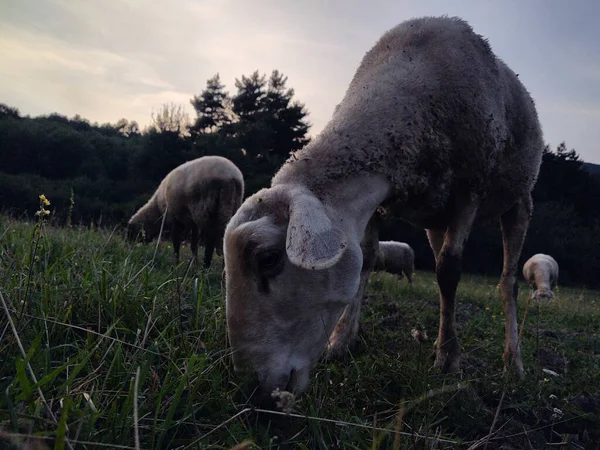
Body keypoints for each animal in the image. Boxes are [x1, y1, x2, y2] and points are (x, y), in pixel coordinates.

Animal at [223, 15, 548, 400]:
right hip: (435, 220)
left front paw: (449, 358)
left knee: (506, 281)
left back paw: (513, 361)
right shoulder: (378, 201)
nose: (251, 388)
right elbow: (366, 257)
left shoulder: (470, 189)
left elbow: (450, 270)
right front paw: (341, 341)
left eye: (270, 259)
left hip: (518, 200)